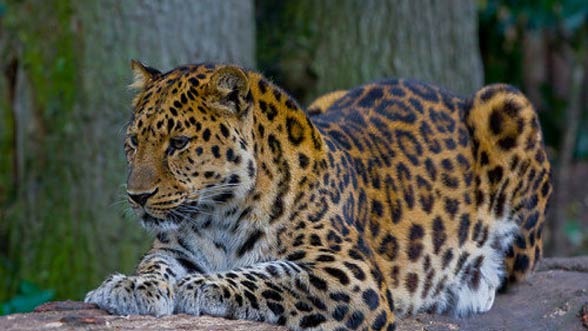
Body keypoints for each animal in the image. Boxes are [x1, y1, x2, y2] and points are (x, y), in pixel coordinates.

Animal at [86, 60, 552, 331]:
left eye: (178, 143)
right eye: (133, 142)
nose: (137, 196)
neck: (220, 214)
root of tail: (449, 94)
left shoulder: (351, 274)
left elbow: (263, 273)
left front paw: (198, 287)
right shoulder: (174, 249)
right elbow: (155, 266)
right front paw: (128, 286)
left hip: (507, 103)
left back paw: (475, 283)